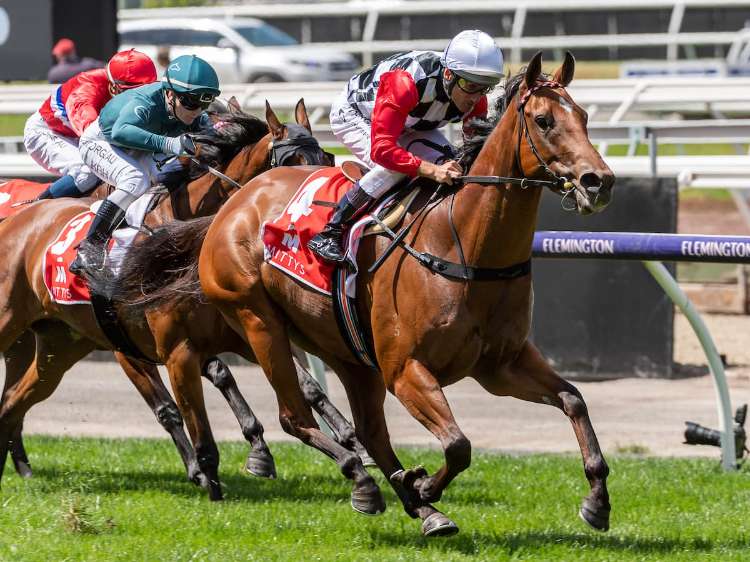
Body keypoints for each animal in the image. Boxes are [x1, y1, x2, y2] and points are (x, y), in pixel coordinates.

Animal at [0, 99, 359, 500]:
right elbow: (182, 400)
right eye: (291, 161)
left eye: (326, 157)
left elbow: (300, 382)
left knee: (14, 394)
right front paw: (215, 465)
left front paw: (345, 438)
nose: (320, 217)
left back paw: (21, 463)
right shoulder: (134, 343)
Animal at [141, 52, 614, 535]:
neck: (464, 243)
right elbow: (458, 444)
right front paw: (424, 485)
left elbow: (573, 400)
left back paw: (413, 502)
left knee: (370, 431)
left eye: (583, 116)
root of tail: (232, 205)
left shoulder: (501, 365)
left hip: (345, 349)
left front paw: (596, 500)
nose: (598, 181)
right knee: (295, 417)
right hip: (258, 322)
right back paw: (367, 482)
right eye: (543, 120)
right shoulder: (405, 369)